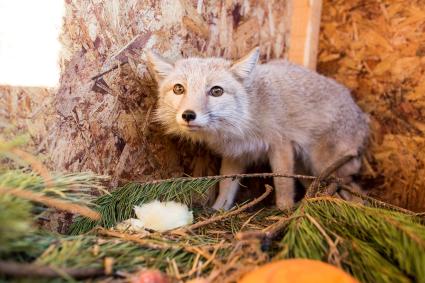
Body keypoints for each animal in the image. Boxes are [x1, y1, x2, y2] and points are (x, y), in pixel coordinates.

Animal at [147, 47, 368, 211]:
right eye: (178, 89)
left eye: (216, 91)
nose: (188, 115)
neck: (247, 117)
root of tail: (361, 114)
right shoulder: (235, 153)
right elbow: (226, 186)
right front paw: (218, 210)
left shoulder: (280, 145)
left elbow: (282, 183)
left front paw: (285, 210)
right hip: (308, 170)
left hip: (324, 166)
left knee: (357, 191)